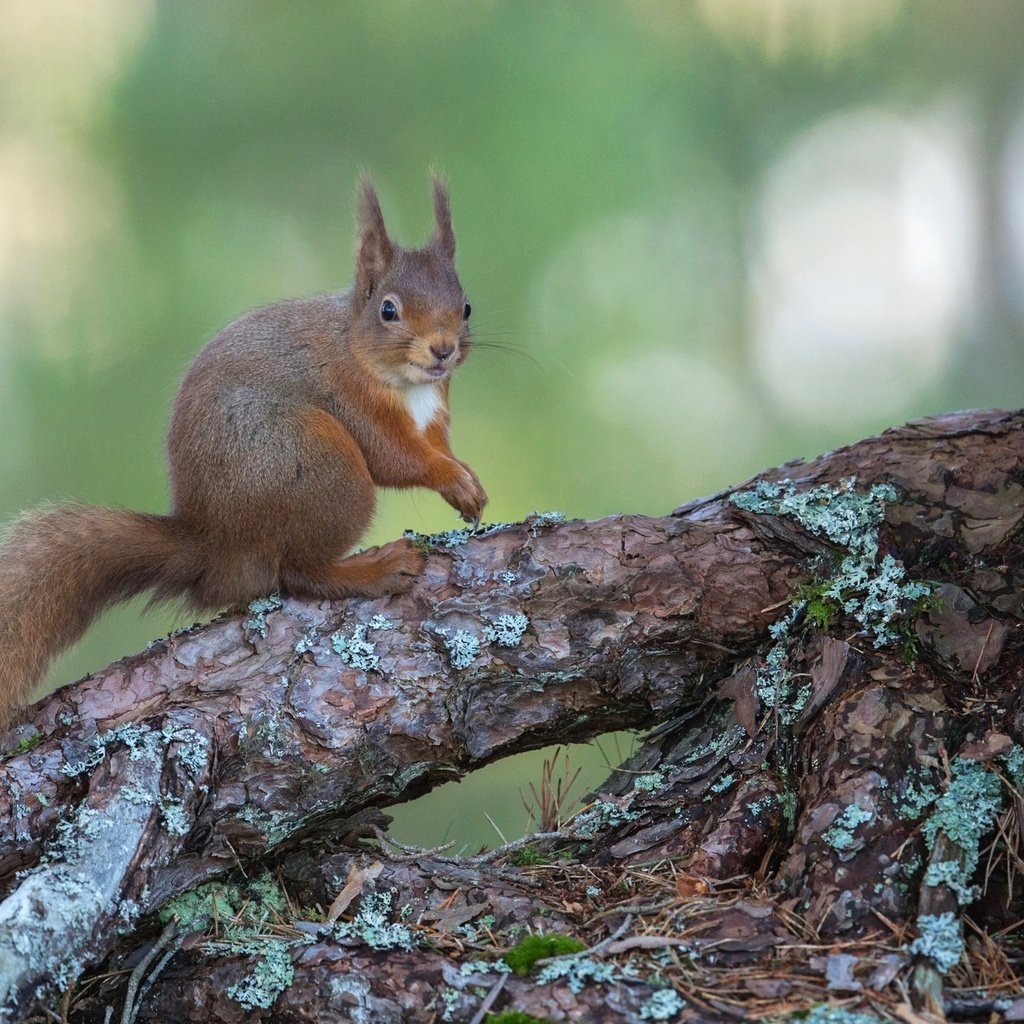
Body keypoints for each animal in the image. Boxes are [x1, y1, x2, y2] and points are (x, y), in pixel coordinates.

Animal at [0, 174, 485, 720]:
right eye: (389, 310)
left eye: (467, 307)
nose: (443, 349)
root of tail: (216, 544)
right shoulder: (350, 398)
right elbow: (394, 458)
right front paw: (450, 478)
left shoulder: (434, 414)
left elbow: (437, 447)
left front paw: (466, 480)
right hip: (319, 462)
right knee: (299, 572)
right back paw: (375, 568)